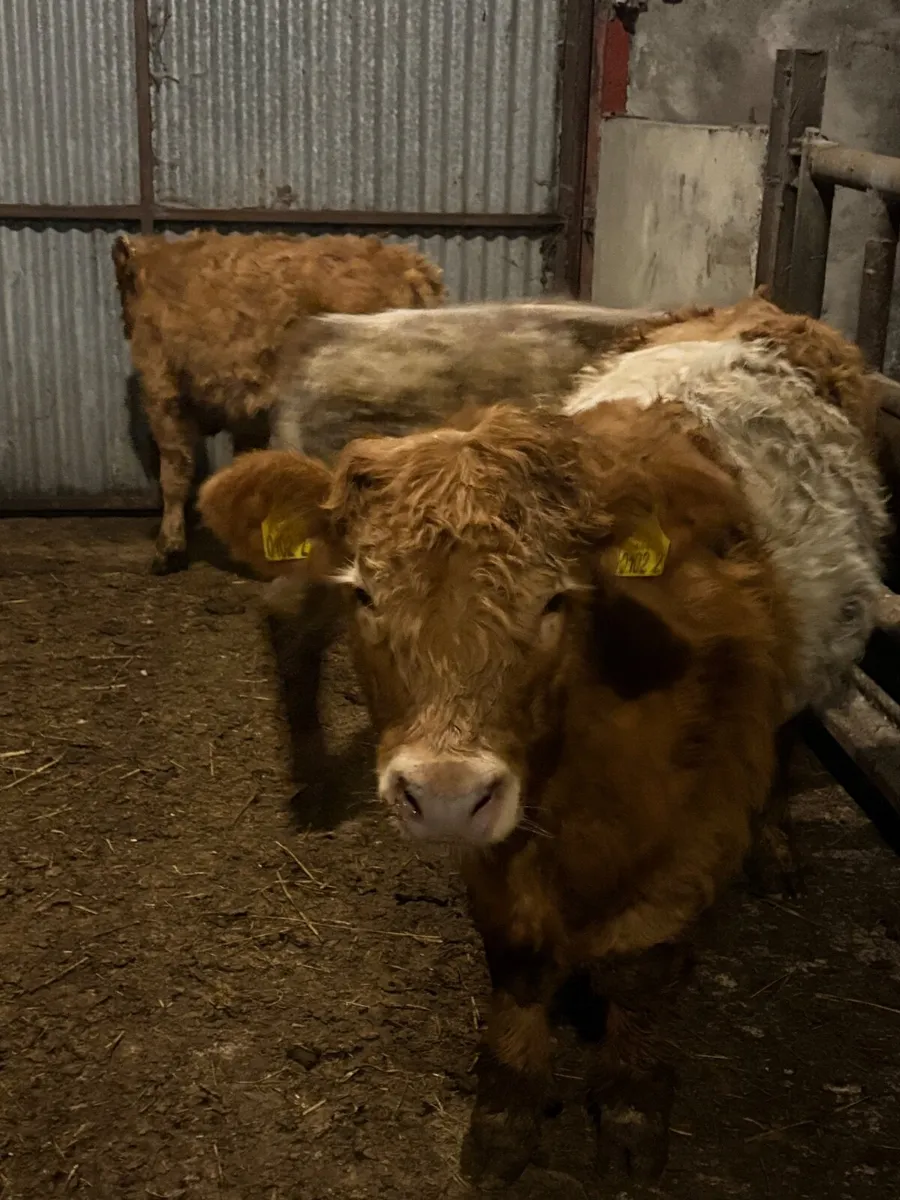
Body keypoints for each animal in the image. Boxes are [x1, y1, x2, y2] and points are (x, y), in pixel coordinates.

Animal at [196, 295, 888, 1184]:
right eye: (367, 594)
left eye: (557, 599)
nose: (442, 795)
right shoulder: (499, 825)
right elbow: (519, 960)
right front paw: (504, 1116)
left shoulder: (695, 829)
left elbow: (642, 970)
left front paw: (629, 1117)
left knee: (792, 738)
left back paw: (777, 854)